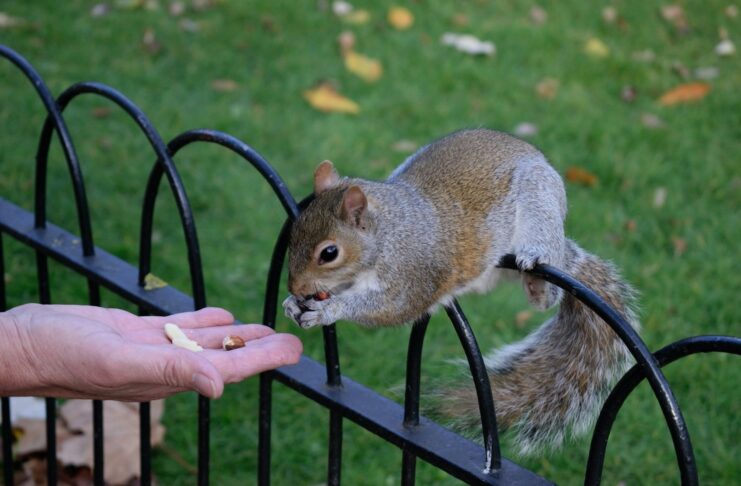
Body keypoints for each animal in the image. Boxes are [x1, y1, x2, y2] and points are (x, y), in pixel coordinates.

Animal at [282, 128, 639, 454]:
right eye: (294, 234)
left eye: (329, 253)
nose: (295, 286)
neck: (388, 234)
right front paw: (292, 304)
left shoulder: (414, 274)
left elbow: (394, 307)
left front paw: (329, 310)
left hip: (541, 207)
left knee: (548, 288)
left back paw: (538, 280)